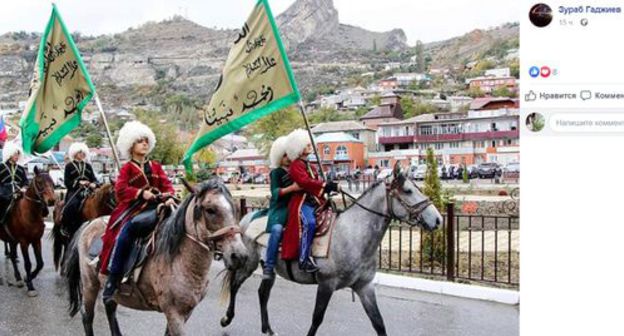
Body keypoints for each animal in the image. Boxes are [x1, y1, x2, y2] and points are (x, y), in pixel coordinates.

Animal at [0, 167, 56, 296]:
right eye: (39, 182)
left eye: (52, 182)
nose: (51, 201)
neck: (31, 214)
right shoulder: (23, 242)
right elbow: (28, 263)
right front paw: (30, 286)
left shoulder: (36, 240)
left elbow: (40, 263)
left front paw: (27, 278)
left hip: (12, 240)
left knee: (13, 256)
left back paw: (18, 278)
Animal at [221, 165, 444, 336]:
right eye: (407, 190)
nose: (438, 219)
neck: (353, 235)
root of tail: (246, 218)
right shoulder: (326, 285)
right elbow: (316, 319)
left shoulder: (364, 286)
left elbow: (379, 323)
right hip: (248, 263)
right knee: (235, 284)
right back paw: (226, 318)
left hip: (270, 268)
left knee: (262, 293)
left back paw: (267, 329)